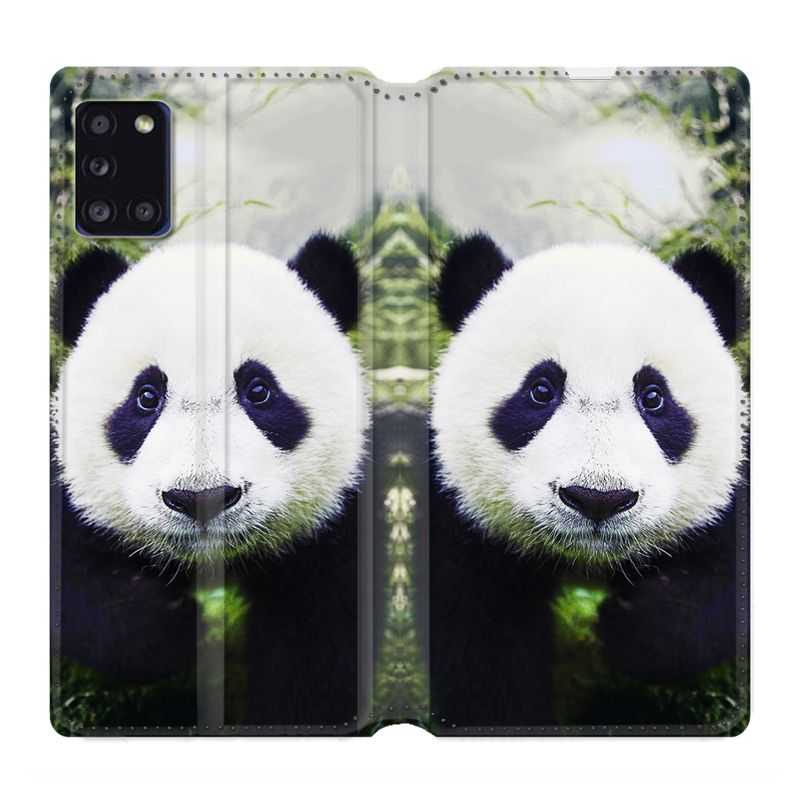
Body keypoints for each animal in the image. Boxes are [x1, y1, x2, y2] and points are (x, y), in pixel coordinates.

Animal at [51, 234, 368, 730]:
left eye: (259, 390)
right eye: (146, 396)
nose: (201, 498)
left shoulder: (332, 532)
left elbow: (318, 656)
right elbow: (84, 593)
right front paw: (182, 632)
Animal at [429, 234, 748, 729]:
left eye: (653, 396)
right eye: (541, 390)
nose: (599, 499)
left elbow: (723, 584)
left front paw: (631, 627)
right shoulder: (466, 526)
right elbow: (483, 651)